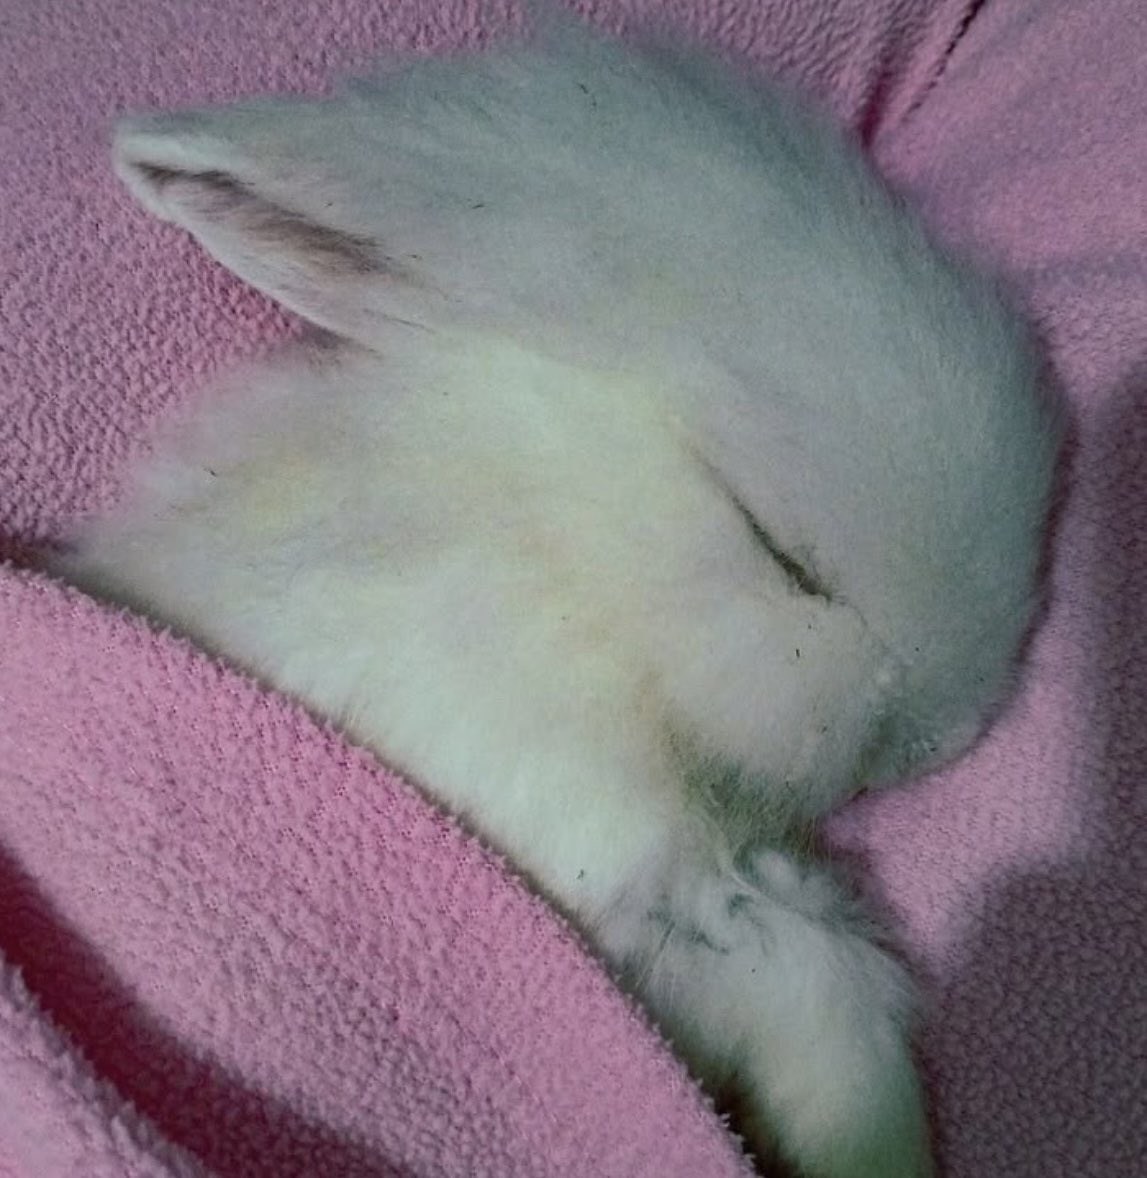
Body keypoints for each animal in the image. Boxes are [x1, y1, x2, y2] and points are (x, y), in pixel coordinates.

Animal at [49, 10, 1061, 1178]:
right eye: (780, 551)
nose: (945, 740)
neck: (568, 544)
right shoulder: (598, 834)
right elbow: (817, 986)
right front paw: (871, 1141)